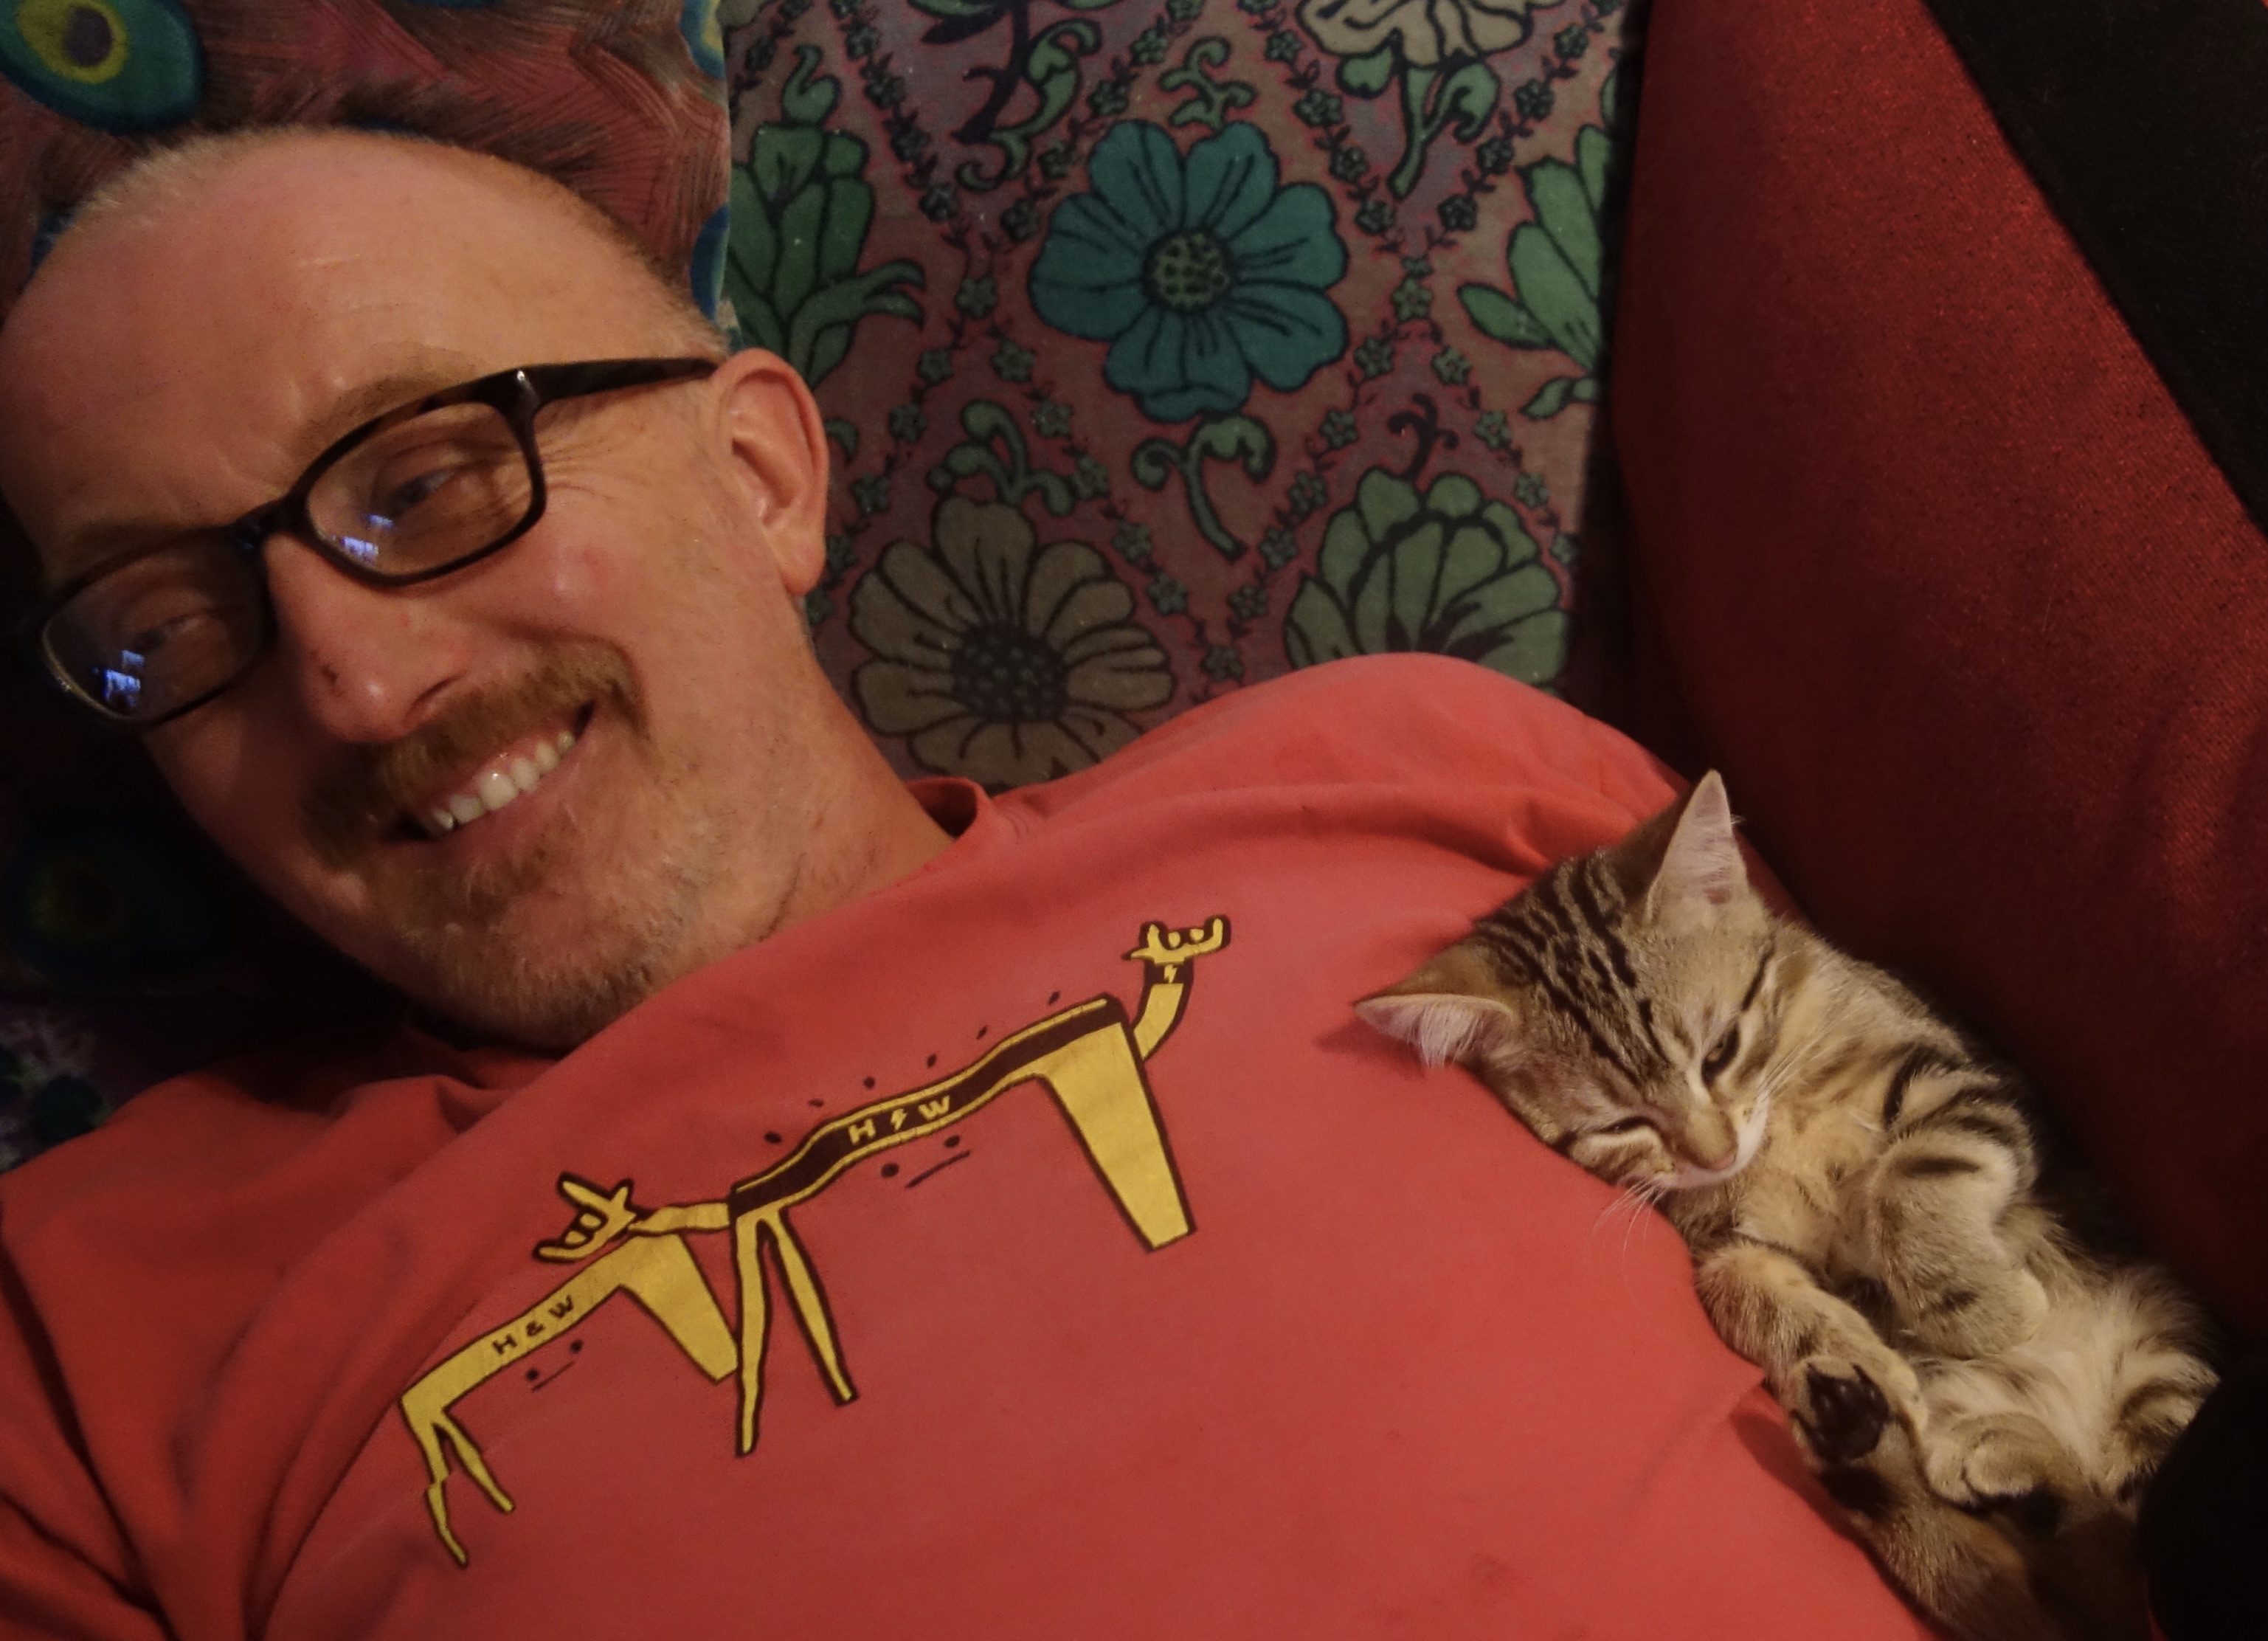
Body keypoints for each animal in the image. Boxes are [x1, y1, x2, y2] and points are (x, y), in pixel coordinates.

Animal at [1357, 773, 2218, 1641]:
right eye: (1620, 1125)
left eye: (1718, 1051)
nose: (1711, 1155)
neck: (1777, 1125)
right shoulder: (1725, 1239)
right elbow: (1740, 1289)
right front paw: (1864, 1352)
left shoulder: (1956, 1074)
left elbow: (1912, 1171)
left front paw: (1979, 1310)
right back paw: (1877, 1436)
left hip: (2167, 1368)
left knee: (2126, 1553)